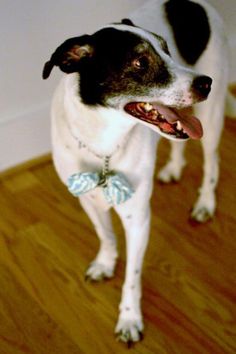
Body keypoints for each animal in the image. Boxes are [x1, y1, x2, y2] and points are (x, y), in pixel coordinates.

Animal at [43, 0, 231, 344]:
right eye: (141, 61)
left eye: (168, 51)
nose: (205, 83)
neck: (103, 142)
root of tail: (194, 3)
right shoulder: (87, 199)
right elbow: (105, 235)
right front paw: (105, 263)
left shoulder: (137, 218)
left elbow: (132, 275)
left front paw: (129, 318)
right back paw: (173, 168)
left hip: (210, 120)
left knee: (212, 163)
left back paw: (205, 204)